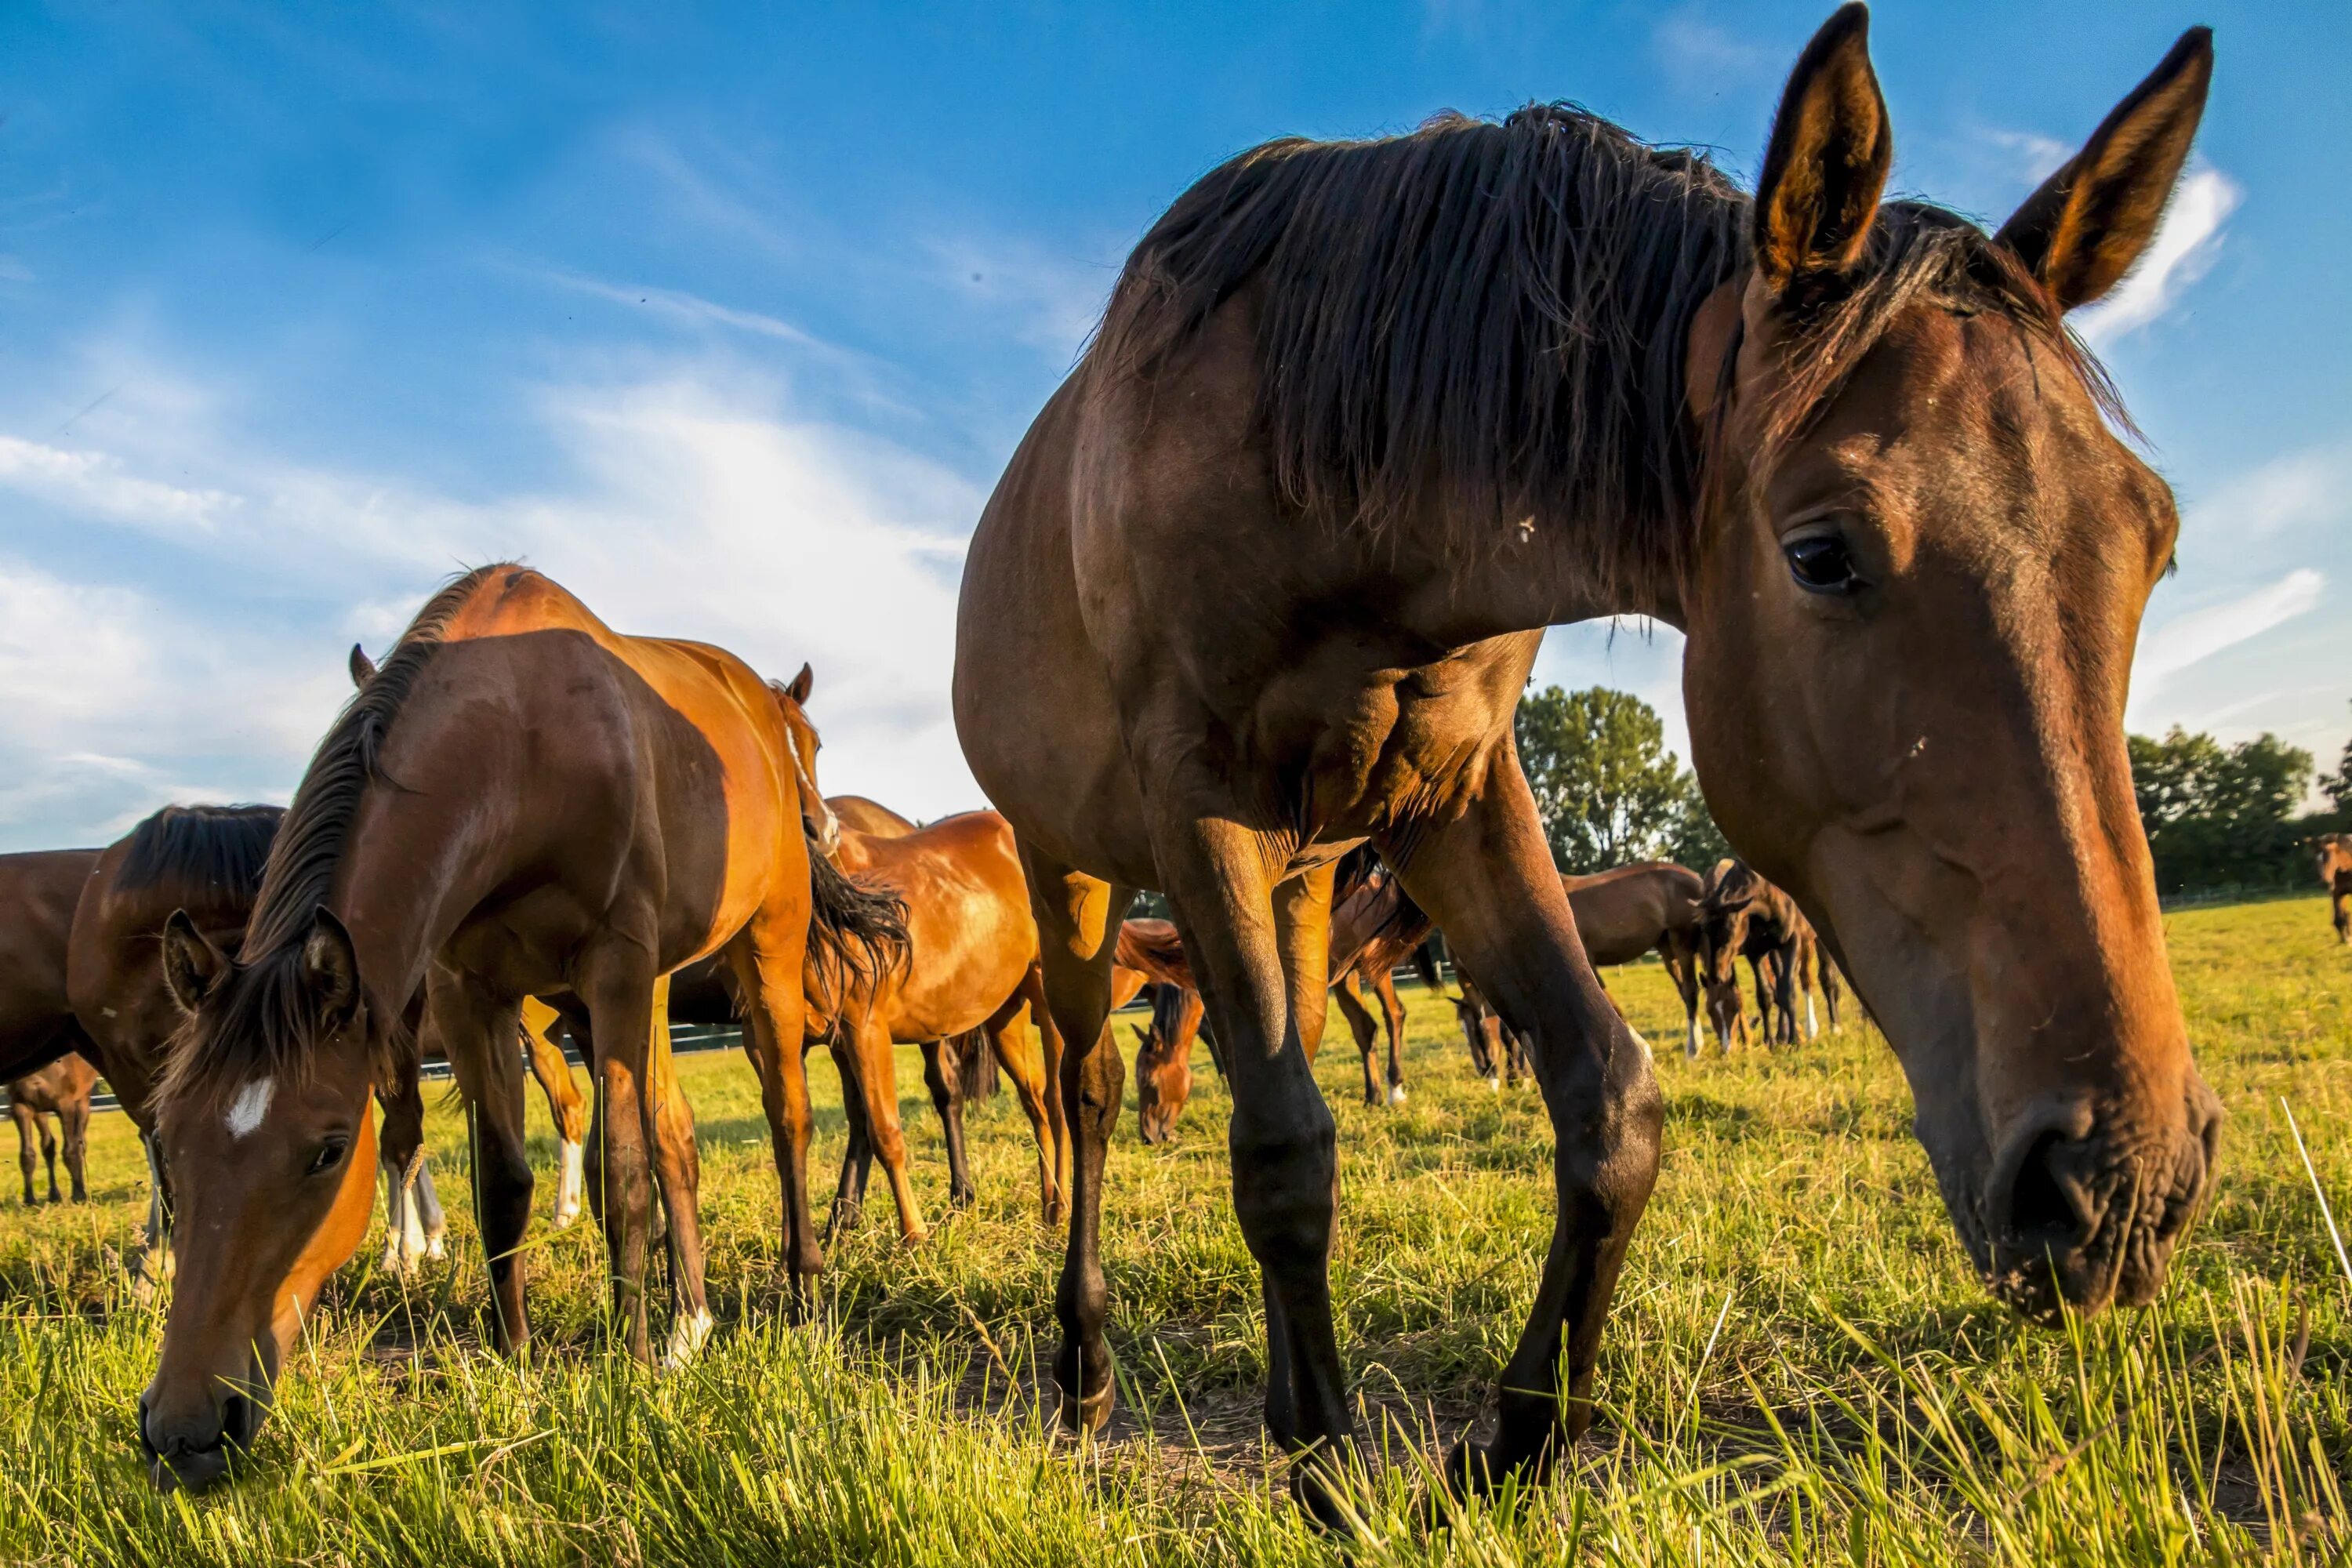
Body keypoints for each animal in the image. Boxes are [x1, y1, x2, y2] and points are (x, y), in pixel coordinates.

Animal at [5, 1062, 96, 1213]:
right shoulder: (21, 1107)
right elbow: (27, 1155)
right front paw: (29, 1201)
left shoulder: (66, 1105)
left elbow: (70, 1152)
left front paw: (78, 1196)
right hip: (40, 1111)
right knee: (48, 1146)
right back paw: (54, 1196)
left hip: (82, 1100)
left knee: (80, 1145)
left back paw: (80, 1191)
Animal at [142, 566, 898, 1495]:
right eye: (169, 1139)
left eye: (327, 1150)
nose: (183, 1426)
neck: (521, 746)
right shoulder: (470, 994)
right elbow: (503, 1186)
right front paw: (517, 1362)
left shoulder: (612, 967)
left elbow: (621, 1173)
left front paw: (630, 1368)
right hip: (645, 991)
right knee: (678, 1134)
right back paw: (690, 1324)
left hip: (764, 948)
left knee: (785, 1114)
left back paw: (802, 1298)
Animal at [950, 12, 2220, 1523]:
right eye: (1822, 553)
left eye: (2154, 541)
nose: (2120, 1182)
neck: (1312, 451)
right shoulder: (1194, 804)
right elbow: (1282, 1157)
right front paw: (1329, 1468)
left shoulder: (1455, 795)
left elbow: (1608, 1105)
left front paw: (1503, 1446)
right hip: (1073, 871)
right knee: (1089, 1086)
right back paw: (1084, 1369)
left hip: (1304, 876)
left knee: (1287, 1052)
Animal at [2314, 832, 2352, 945]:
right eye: (2317, 860)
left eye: (2330, 858)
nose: (2325, 882)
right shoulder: (2337, 893)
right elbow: (2339, 918)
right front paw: (2345, 939)